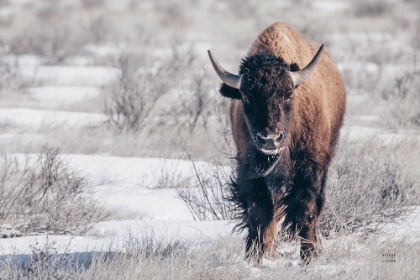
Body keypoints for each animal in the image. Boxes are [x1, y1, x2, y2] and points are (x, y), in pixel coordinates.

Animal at [208, 21, 346, 262]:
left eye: (288, 95)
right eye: (246, 98)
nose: (270, 139)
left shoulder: (311, 167)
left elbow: (306, 209)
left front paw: (309, 256)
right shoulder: (250, 169)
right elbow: (258, 212)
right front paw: (253, 257)